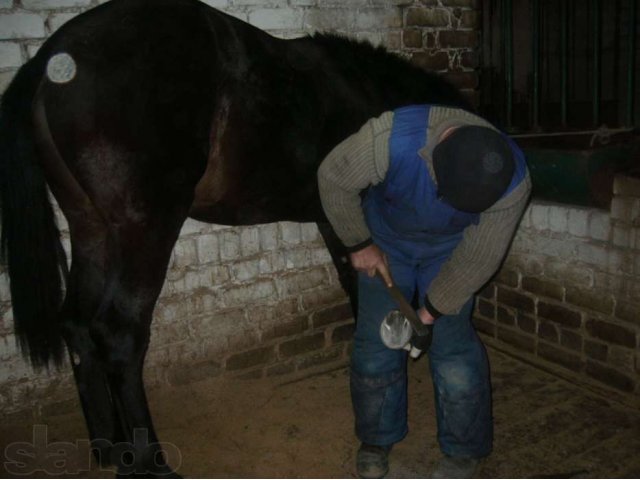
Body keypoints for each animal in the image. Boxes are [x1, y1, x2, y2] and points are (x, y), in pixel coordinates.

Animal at [0, 0, 470, 474]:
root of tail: (48, 58)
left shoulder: (334, 220)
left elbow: (353, 285)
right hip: (145, 231)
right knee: (119, 335)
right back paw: (150, 461)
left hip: (90, 229)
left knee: (76, 324)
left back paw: (109, 446)